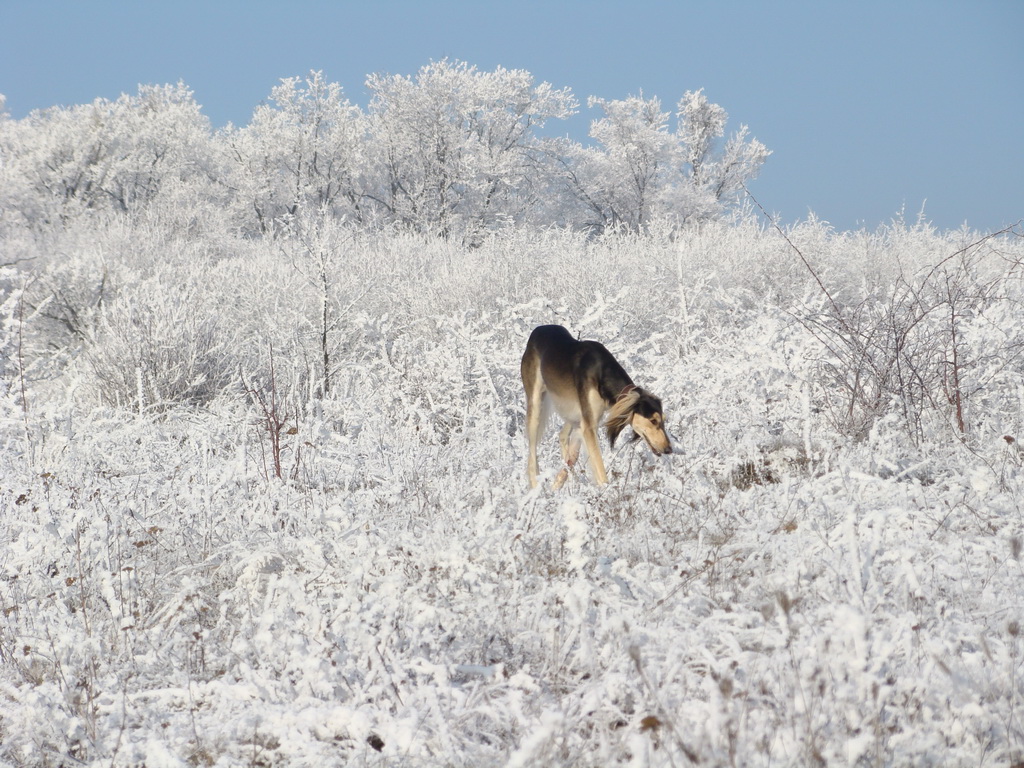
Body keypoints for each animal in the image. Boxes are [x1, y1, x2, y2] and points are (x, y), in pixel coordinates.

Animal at [520, 325, 671, 487]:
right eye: (653, 421)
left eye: (663, 420)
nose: (669, 449)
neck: (602, 371)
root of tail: (538, 329)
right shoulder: (589, 427)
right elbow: (600, 470)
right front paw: (607, 490)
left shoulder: (584, 425)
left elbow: (571, 461)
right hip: (536, 406)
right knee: (532, 461)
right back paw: (537, 489)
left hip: (573, 414)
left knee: (562, 438)